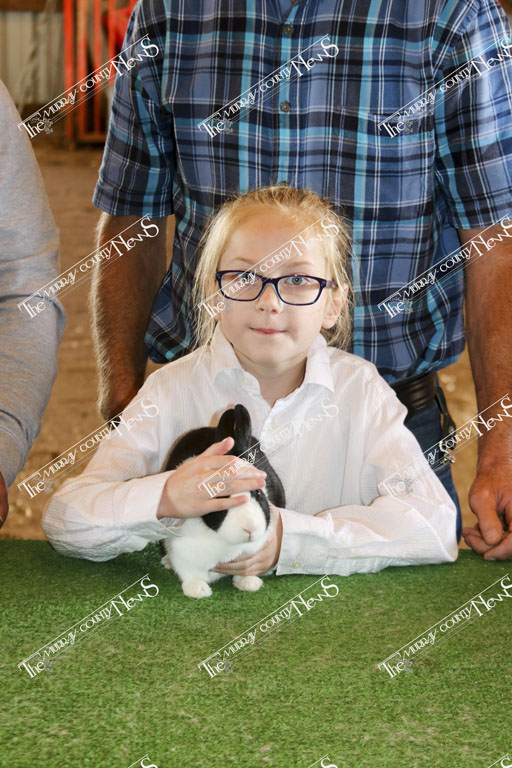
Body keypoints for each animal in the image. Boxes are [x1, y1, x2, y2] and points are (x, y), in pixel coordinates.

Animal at [159, 403, 286, 599]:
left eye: (258, 494)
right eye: (221, 496)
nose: (250, 529)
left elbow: (248, 571)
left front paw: (249, 584)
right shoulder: (182, 550)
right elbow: (190, 573)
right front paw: (198, 590)